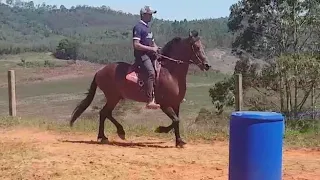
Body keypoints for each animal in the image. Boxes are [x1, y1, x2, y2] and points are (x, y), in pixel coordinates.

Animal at [69, 29, 210, 148]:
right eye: (197, 47)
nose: (207, 65)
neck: (170, 73)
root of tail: (99, 71)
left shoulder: (176, 104)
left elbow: (176, 121)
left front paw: (179, 141)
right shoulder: (164, 104)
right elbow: (176, 120)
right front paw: (161, 130)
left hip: (115, 97)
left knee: (105, 113)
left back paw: (107, 135)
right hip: (113, 97)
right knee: (104, 113)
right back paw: (113, 134)